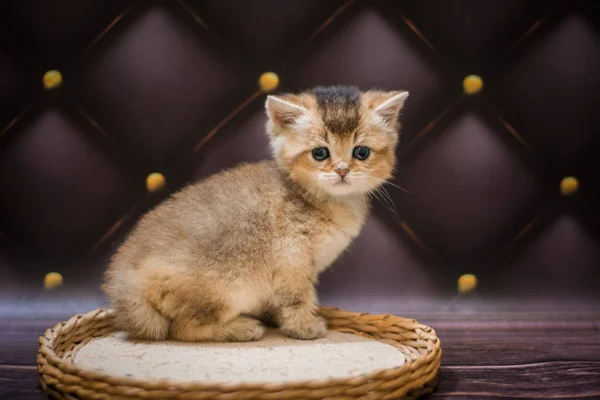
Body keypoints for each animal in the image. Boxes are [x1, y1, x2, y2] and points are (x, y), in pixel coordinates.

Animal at [103, 86, 408, 342]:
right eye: (320, 153)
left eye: (361, 152)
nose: (343, 170)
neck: (313, 197)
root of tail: (124, 283)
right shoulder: (292, 257)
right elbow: (298, 297)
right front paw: (303, 327)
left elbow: (280, 299)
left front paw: (280, 318)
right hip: (225, 291)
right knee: (183, 329)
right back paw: (240, 328)